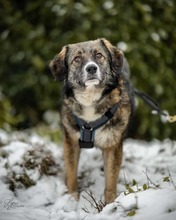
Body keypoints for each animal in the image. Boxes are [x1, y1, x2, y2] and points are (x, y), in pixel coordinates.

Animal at [48, 38, 134, 205]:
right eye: (77, 58)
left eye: (99, 55)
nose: (92, 68)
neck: (90, 99)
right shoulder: (71, 142)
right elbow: (71, 173)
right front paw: (72, 198)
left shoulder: (112, 145)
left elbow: (111, 180)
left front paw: (110, 204)